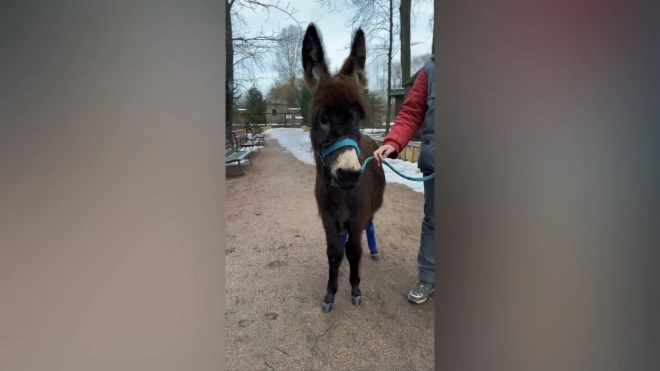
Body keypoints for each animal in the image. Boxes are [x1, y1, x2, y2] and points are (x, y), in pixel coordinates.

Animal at [300, 24, 386, 314]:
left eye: (358, 117)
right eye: (323, 118)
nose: (348, 174)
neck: (341, 194)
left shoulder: (357, 214)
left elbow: (353, 250)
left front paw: (356, 289)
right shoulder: (327, 216)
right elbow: (335, 252)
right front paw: (330, 294)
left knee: (368, 227)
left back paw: (374, 250)